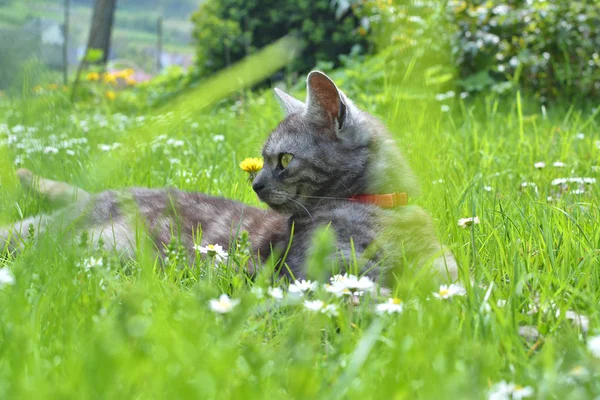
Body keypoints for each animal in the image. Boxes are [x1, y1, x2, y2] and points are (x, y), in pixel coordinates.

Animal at [1, 72, 460, 284]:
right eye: (265, 159)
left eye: (284, 159)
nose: (255, 185)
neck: (382, 210)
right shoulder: (317, 276)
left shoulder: (446, 269)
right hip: (57, 237)